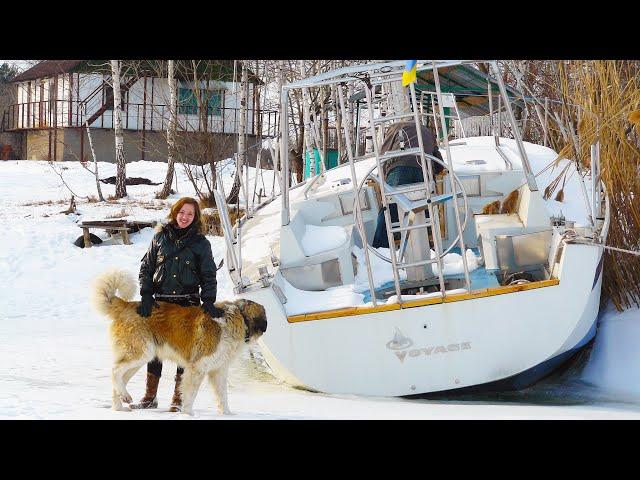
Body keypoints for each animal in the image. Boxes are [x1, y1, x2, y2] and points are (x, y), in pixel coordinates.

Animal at [91, 268, 266, 414]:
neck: (238, 319)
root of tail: (126, 305)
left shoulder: (219, 370)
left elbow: (222, 395)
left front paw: (227, 414)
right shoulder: (197, 368)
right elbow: (191, 394)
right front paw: (188, 414)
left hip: (139, 358)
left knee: (120, 378)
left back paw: (119, 406)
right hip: (140, 353)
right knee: (115, 370)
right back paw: (124, 398)